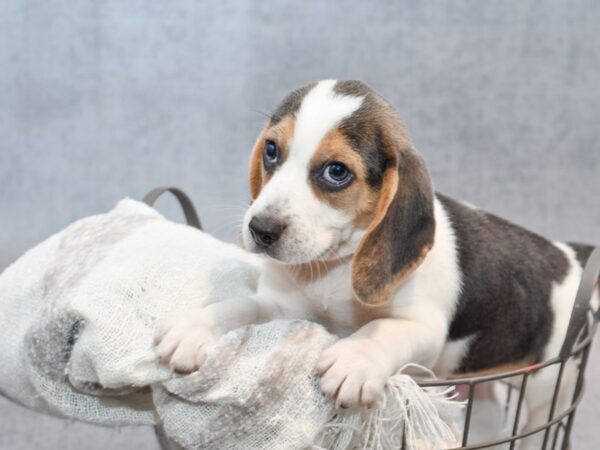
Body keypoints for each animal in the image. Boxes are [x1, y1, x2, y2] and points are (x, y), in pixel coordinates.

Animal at [156, 79, 600, 448]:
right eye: (271, 151)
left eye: (336, 171)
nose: (261, 229)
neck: (335, 269)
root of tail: (572, 256)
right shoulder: (281, 306)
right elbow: (239, 306)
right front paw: (196, 327)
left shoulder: (423, 327)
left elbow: (381, 330)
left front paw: (356, 357)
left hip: (547, 390)